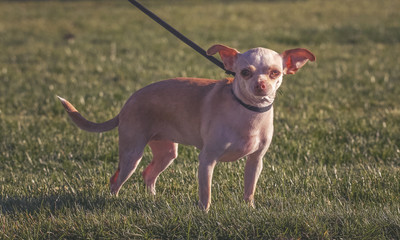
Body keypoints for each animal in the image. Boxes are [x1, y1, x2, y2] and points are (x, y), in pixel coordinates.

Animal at [58, 44, 316, 211]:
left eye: (275, 73)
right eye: (244, 73)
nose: (261, 85)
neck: (248, 111)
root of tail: (125, 105)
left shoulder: (255, 161)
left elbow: (249, 189)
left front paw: (250, 210)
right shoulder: (207, 160)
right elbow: (206, 192)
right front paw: (204, 213)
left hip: (166, 152)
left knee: (148, 173)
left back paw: (152, 199)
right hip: (132, 154)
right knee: (116, 179)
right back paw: (112, 201)